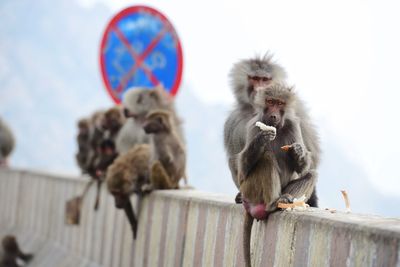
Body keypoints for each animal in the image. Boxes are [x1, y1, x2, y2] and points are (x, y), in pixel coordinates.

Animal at [236, 85, 318, 267]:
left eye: (279, 103)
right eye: (270, 101)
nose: (273, 115)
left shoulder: (294, 124)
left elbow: (303, 169)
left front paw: (298, 152)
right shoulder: (253, 125)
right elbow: (243, 171)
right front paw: (261, 139)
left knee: (311, 175)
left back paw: (285, 202)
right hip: (249, 188)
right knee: (266, 158)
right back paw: (272, 204)